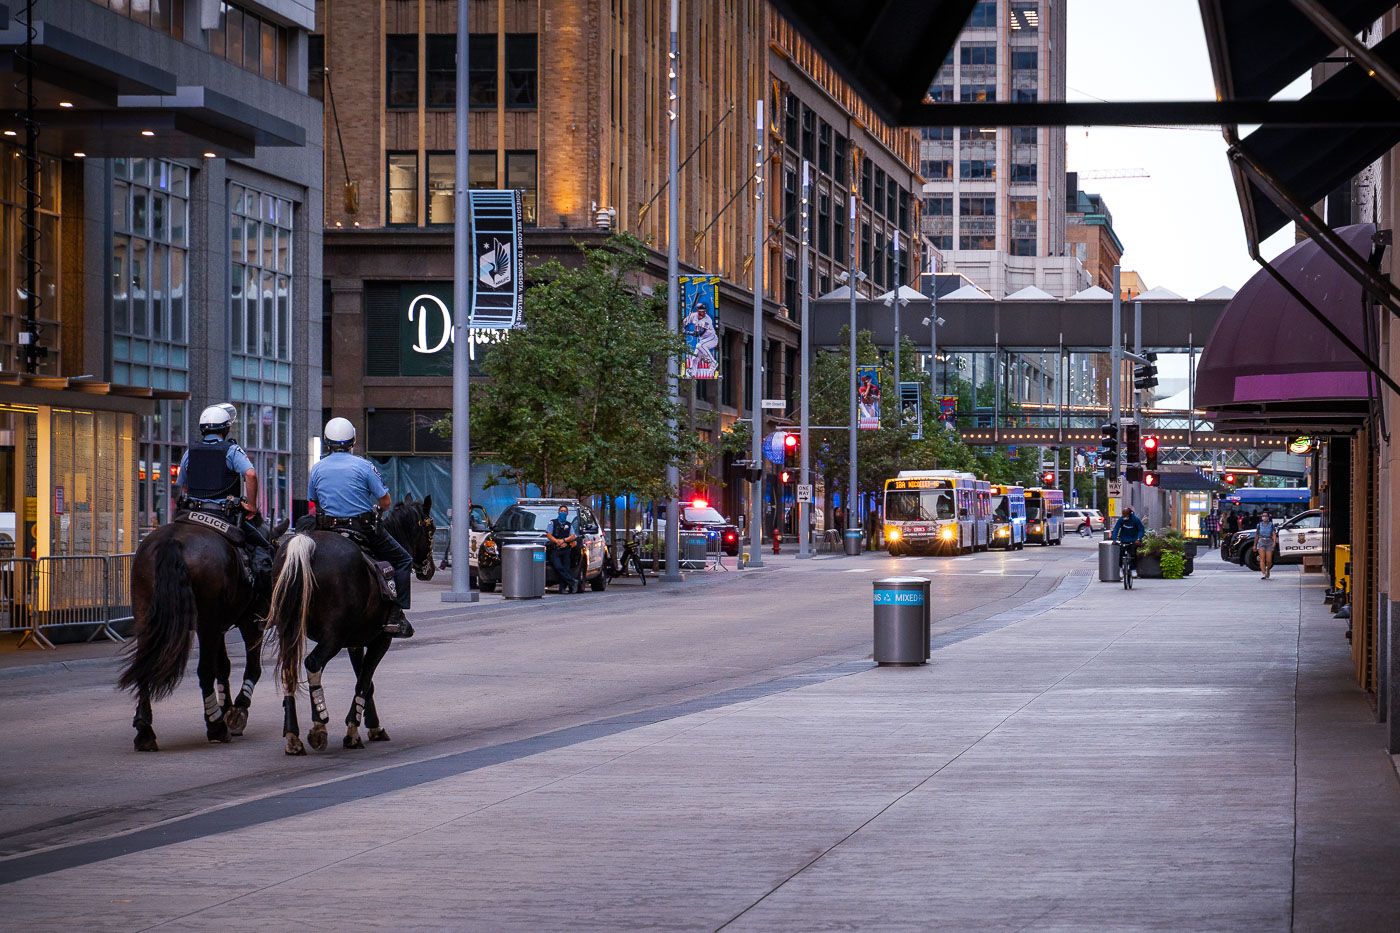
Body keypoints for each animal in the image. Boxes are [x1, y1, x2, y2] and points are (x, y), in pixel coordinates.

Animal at [120, 512, 292, 745]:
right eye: (274, 546)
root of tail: (172, 542)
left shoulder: (219, 626)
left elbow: (224, 666)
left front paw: (226, 707)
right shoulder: (249, 623)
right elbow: (252, 668)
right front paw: (237, 710)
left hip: (147, 620)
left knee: (145, 666)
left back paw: (144, 730)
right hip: (206, 623)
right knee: (205, 670)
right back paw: (215, 727)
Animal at [266, 498, 431, 750]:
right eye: (430, 529)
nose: (429, 568)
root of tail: (306, 545)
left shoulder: (354, 642)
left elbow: (366, 682)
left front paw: (373, 726)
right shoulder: (380, 640)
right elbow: (364, 681)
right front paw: (354, 730)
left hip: (291, 630)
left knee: (288, 671)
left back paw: (293, 735)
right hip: (332, 637)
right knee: (313, 663)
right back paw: (319, 723)